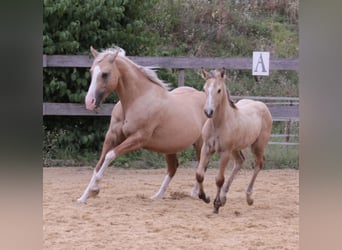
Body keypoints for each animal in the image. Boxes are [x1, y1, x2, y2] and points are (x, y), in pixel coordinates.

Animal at [77, 46, 206, 203]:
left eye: (105, 74)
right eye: (91, 71)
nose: (89, 102)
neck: (136, 99)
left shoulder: (138, 139)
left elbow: (109, 156)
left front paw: (94, 190)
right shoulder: (112, 137)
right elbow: (98, 164)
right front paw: (84, 197)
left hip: (201, 144)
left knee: (200, 166)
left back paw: (195, 193)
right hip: (170, 147)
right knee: (173, 168)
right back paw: (157, 196)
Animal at [194, 68, 272, 213]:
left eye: (219, 90)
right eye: (204, 88)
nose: (208, 112)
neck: (218, 124)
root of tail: (262, 105)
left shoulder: (225, 152)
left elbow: (219, 179)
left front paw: (216, 205)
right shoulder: (206, 148)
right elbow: (200, 174)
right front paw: (205, 197)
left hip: (257, 146)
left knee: (258, 164)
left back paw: (248, 197)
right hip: (236, 148)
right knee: (240, 162)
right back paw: (224, 197)